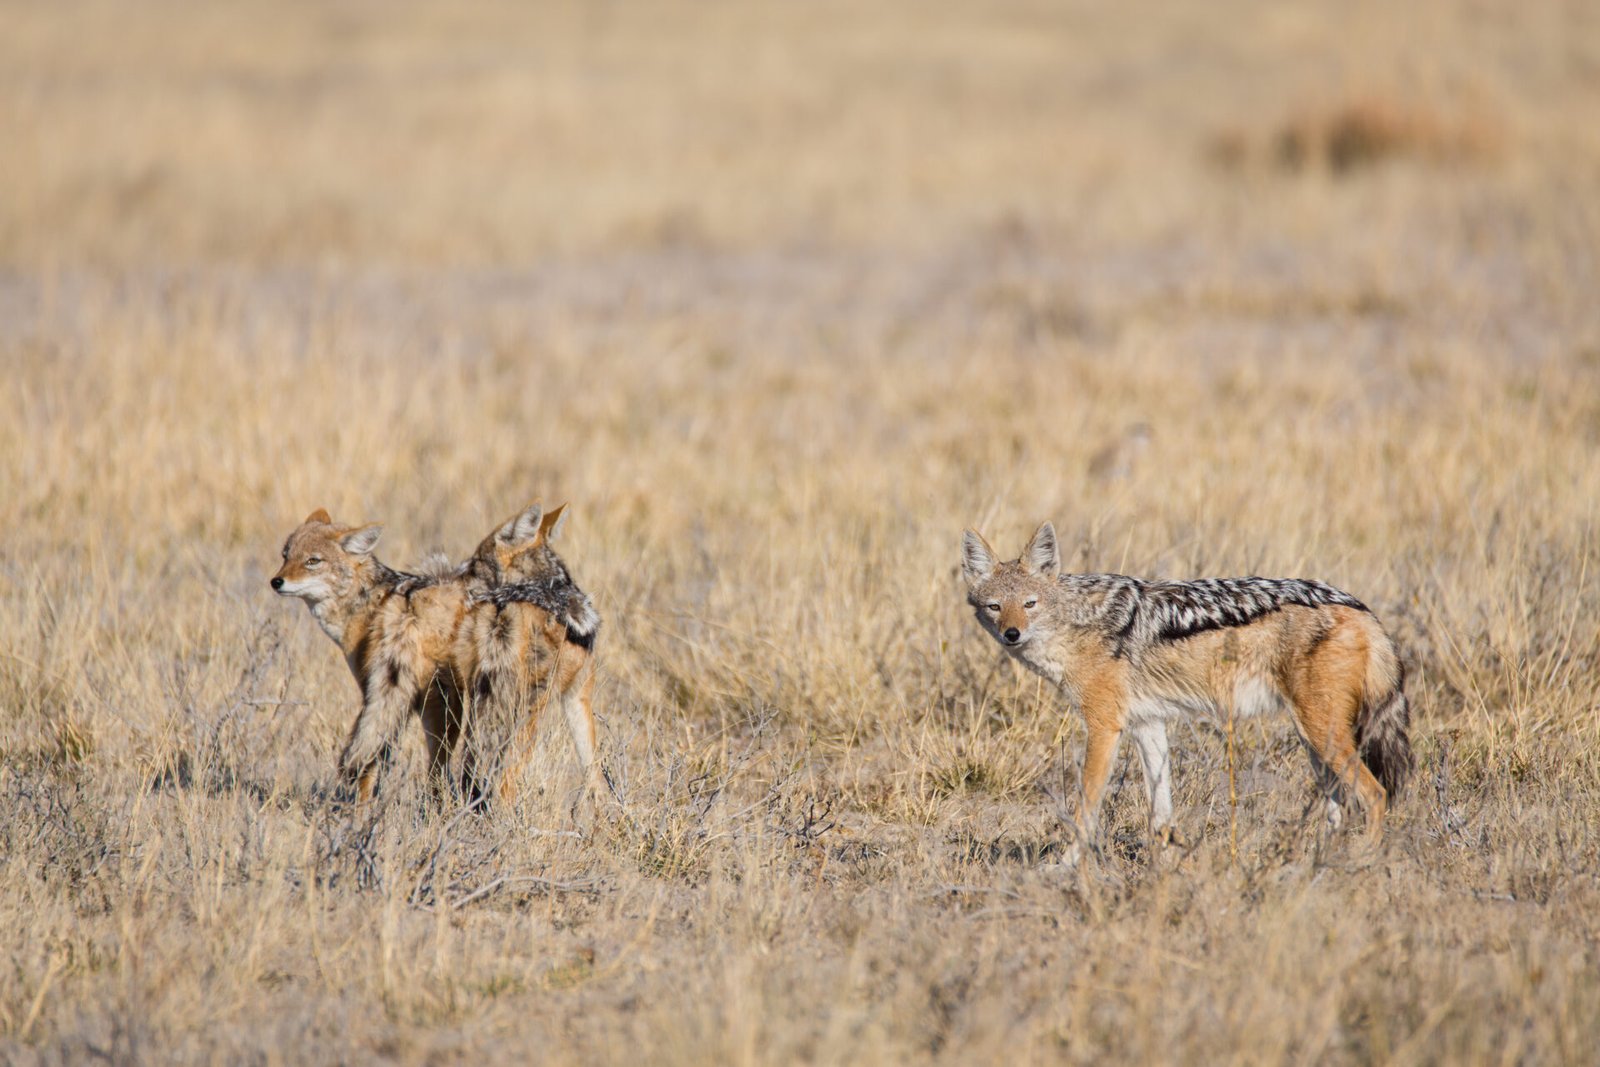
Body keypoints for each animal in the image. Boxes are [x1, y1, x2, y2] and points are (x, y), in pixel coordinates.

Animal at [961, 521, 1411, 861]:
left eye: (1030, 603)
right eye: (995, 607)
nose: (1012, 635)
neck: (1077, 624)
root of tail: (1359, 607)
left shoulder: (1105, 727)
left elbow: (1085, 808)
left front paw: (1066, 865)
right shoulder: (1148, 724)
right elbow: (1161, 814)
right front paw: (1165, 865)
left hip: (1322, 733)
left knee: (1375, 795)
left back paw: (1363, 858)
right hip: (1314, 740)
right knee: (1340, 806)